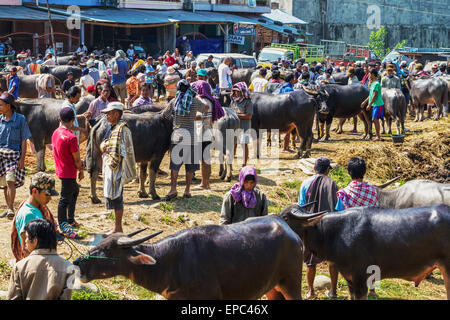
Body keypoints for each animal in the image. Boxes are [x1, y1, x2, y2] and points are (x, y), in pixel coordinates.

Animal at [74, 212, 310, 300]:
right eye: (99, 244)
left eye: (107, 250)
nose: (77, 263)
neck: (170, 262)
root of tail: (292, 234)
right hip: (272, 287)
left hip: (292, 284)